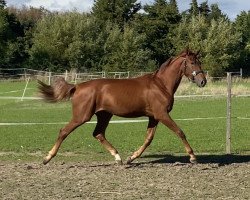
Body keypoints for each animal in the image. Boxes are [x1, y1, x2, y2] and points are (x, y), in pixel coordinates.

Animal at [38, 49, 207, 165]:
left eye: (200, 62)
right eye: (193, 62)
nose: (203, 81)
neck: (161, 85)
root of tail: (77, 86)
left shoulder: (154, 117)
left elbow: (148, 139)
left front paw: (131, 158)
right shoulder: (162, 114)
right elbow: (180, 132)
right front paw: (193, 157)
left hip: (104, 115)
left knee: (98, 133)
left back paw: (118, 157)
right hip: (82, 116)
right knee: (64, 131)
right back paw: (47, 158)